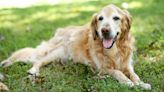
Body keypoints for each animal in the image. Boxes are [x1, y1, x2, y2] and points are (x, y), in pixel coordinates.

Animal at [0, 4, 151, 90]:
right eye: (100, 19)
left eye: (116, 18)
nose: (104, 30)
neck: (114, 50)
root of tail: (61, 29)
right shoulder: (103, 68)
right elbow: (118, 73)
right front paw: (129, 83)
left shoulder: (127, 64)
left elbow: (134, 74)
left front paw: (140, 83)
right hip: (57, 52)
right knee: (38, 61)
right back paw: (33, 72)